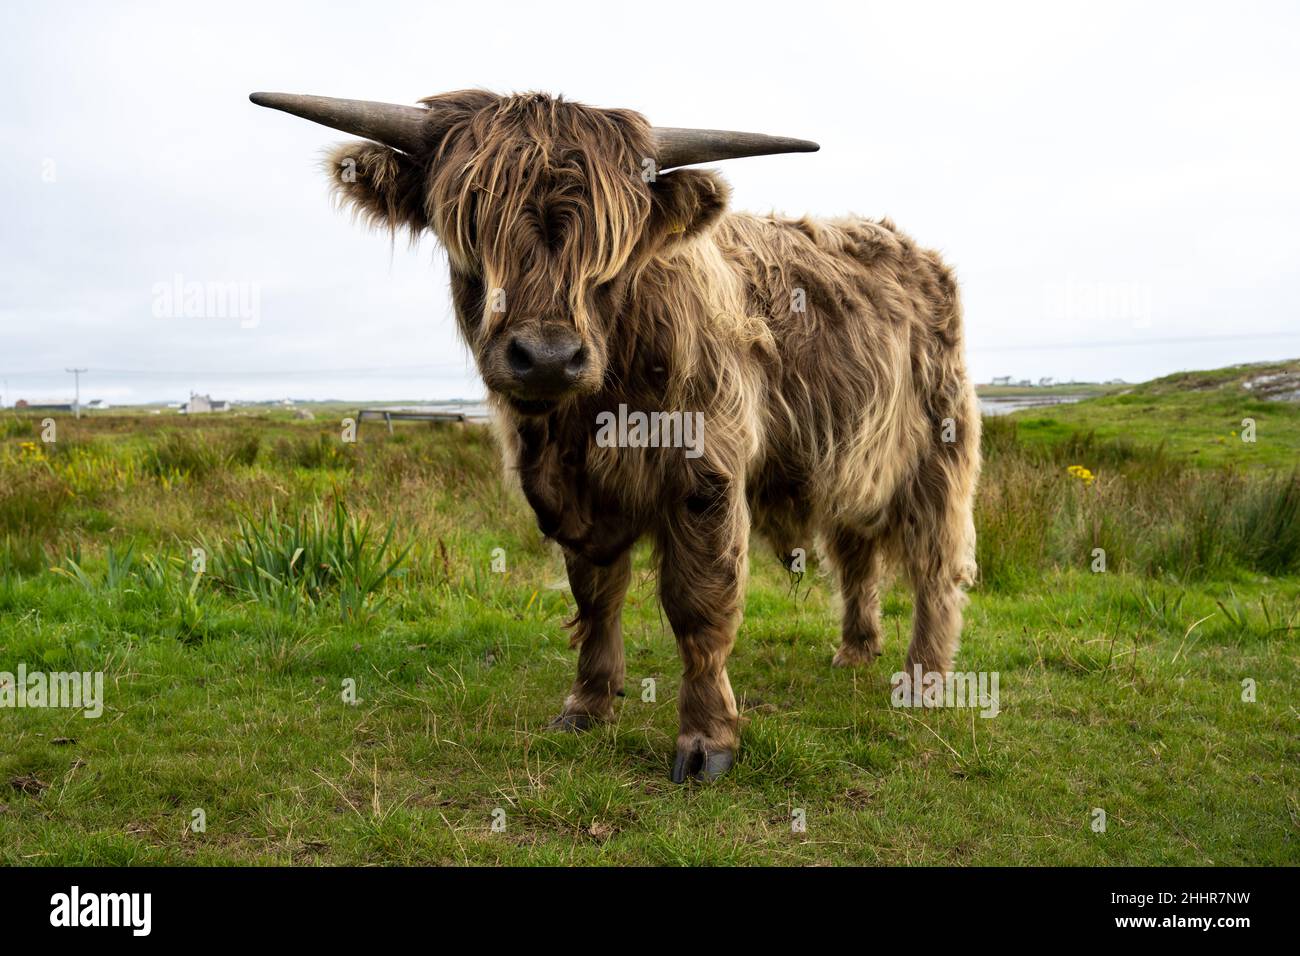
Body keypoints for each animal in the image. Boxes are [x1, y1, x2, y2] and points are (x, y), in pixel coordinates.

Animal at [250, 89, 977, 780]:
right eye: (472, 219)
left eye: (611, 243)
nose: (546, 357)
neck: (590, 412)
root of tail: (914, 251)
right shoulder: (566, 489)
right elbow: (596, 596)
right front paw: (588, 705)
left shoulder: (705, 472)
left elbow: (699, 605)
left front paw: (706, 739)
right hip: (851, 456)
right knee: (855, 551)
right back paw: (855, 650)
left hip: (939, 448)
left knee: (936, 563)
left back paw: (924, 680)